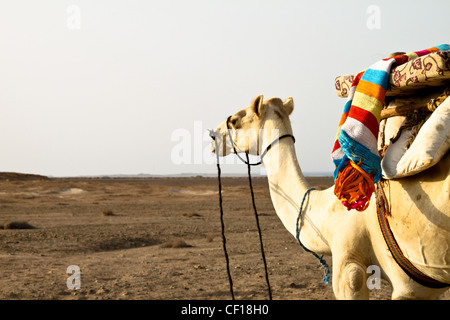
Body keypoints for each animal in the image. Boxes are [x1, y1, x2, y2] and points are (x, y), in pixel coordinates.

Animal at [211, 95, 450, 300]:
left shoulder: (349, 266)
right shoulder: (421, 288)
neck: (327, 209)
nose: (213, 136)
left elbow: (351, 278)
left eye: (235, 120)